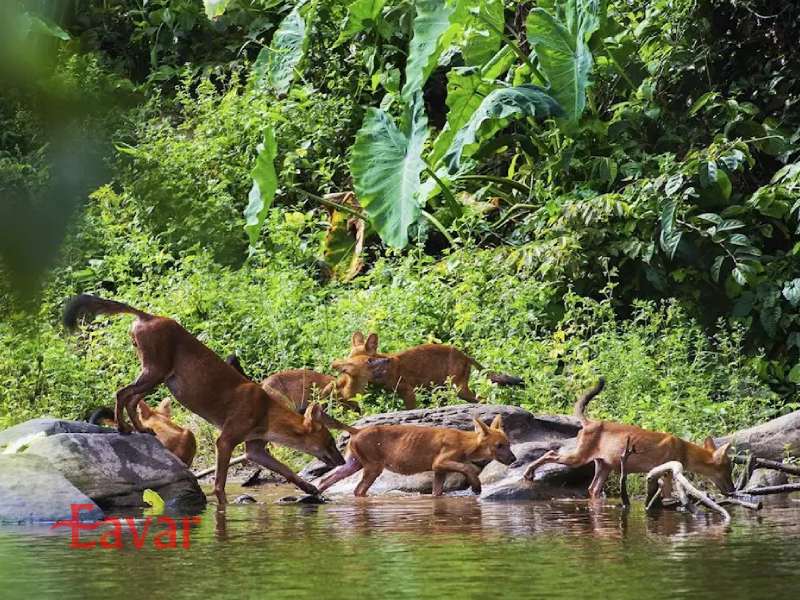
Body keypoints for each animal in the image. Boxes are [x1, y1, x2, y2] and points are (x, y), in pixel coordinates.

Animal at [62, 298, 344, 504]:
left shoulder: (254, 449)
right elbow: (219, 483)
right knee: (122, 393)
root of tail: (148, 315)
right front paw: (222, 508)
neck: (267, 412)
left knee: (131, 399)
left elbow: (286, 469)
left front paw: (309, 488)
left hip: (157, 376)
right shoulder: (226, 440)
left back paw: (142, 430)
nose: (343, 461)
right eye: (330, 442)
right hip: (155, 372)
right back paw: (123, 428)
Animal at [316, 418, 516, 496]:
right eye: (499, 446)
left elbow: (437, 492)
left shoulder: (439, 470)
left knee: (326, 479)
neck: (466, 443)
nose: (514, 459)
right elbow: (468, 467)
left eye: (509, 444)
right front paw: (476, 487)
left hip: (353, 464)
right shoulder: (440, 462)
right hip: (373, 467)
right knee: (358, 490)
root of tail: (357, 430)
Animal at [332, 330, 524, 410]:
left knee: (482, 399)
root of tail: (465, 355)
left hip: (458, 388)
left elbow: (409, 410)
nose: (338, 367)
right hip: (442, 390)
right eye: (348, 358)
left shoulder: (408, 391)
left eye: (366, 361)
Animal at [520, 380, 736, 496]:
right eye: (727, 469)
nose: (733, 490)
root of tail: (589, 423)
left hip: (604, 466)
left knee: (592, 489)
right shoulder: (666, 473)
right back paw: (528, 473)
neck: (684, 451)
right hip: (579, 458)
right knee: (550, 453)